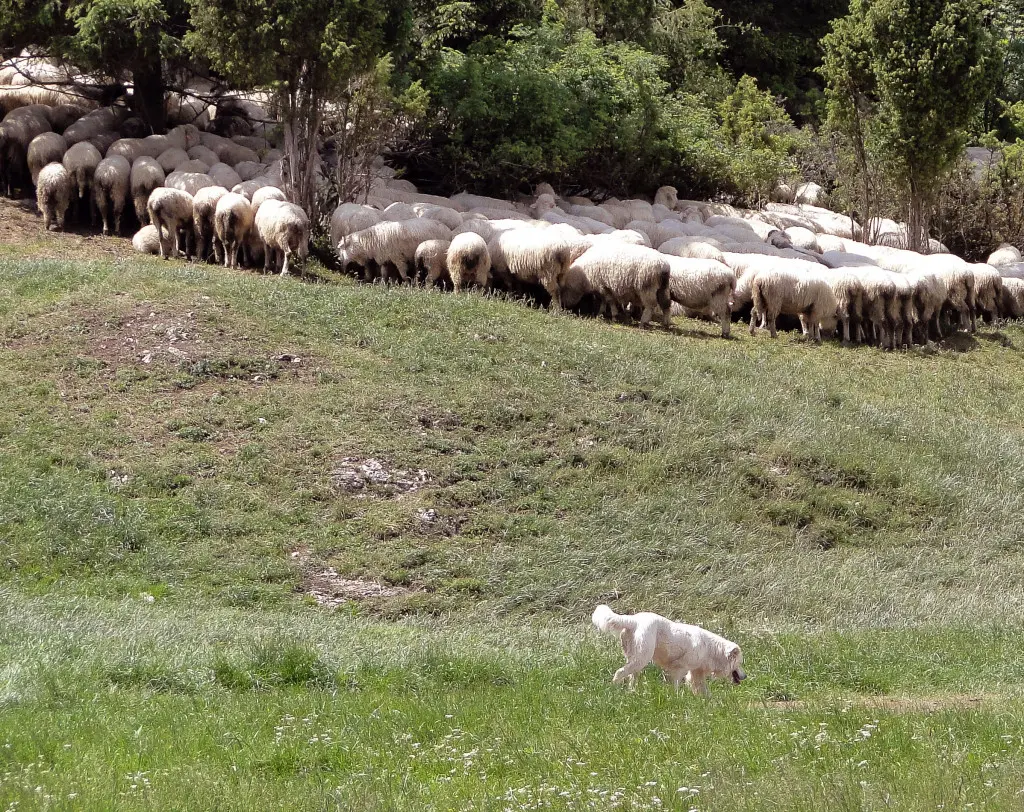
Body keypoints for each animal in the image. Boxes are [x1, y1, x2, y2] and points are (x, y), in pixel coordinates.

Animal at [593, 606, 745, 692]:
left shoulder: (696, 673)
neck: (710, 649)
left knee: (631, 677)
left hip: (635, 660)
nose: (746, 676)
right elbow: (675, 687)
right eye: (740, 663)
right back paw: (614, 691)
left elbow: (703, 691)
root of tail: (633, 620)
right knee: (619, 672)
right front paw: (675, 699)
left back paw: (632, 693)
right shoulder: (679, 669)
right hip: (642, 658)